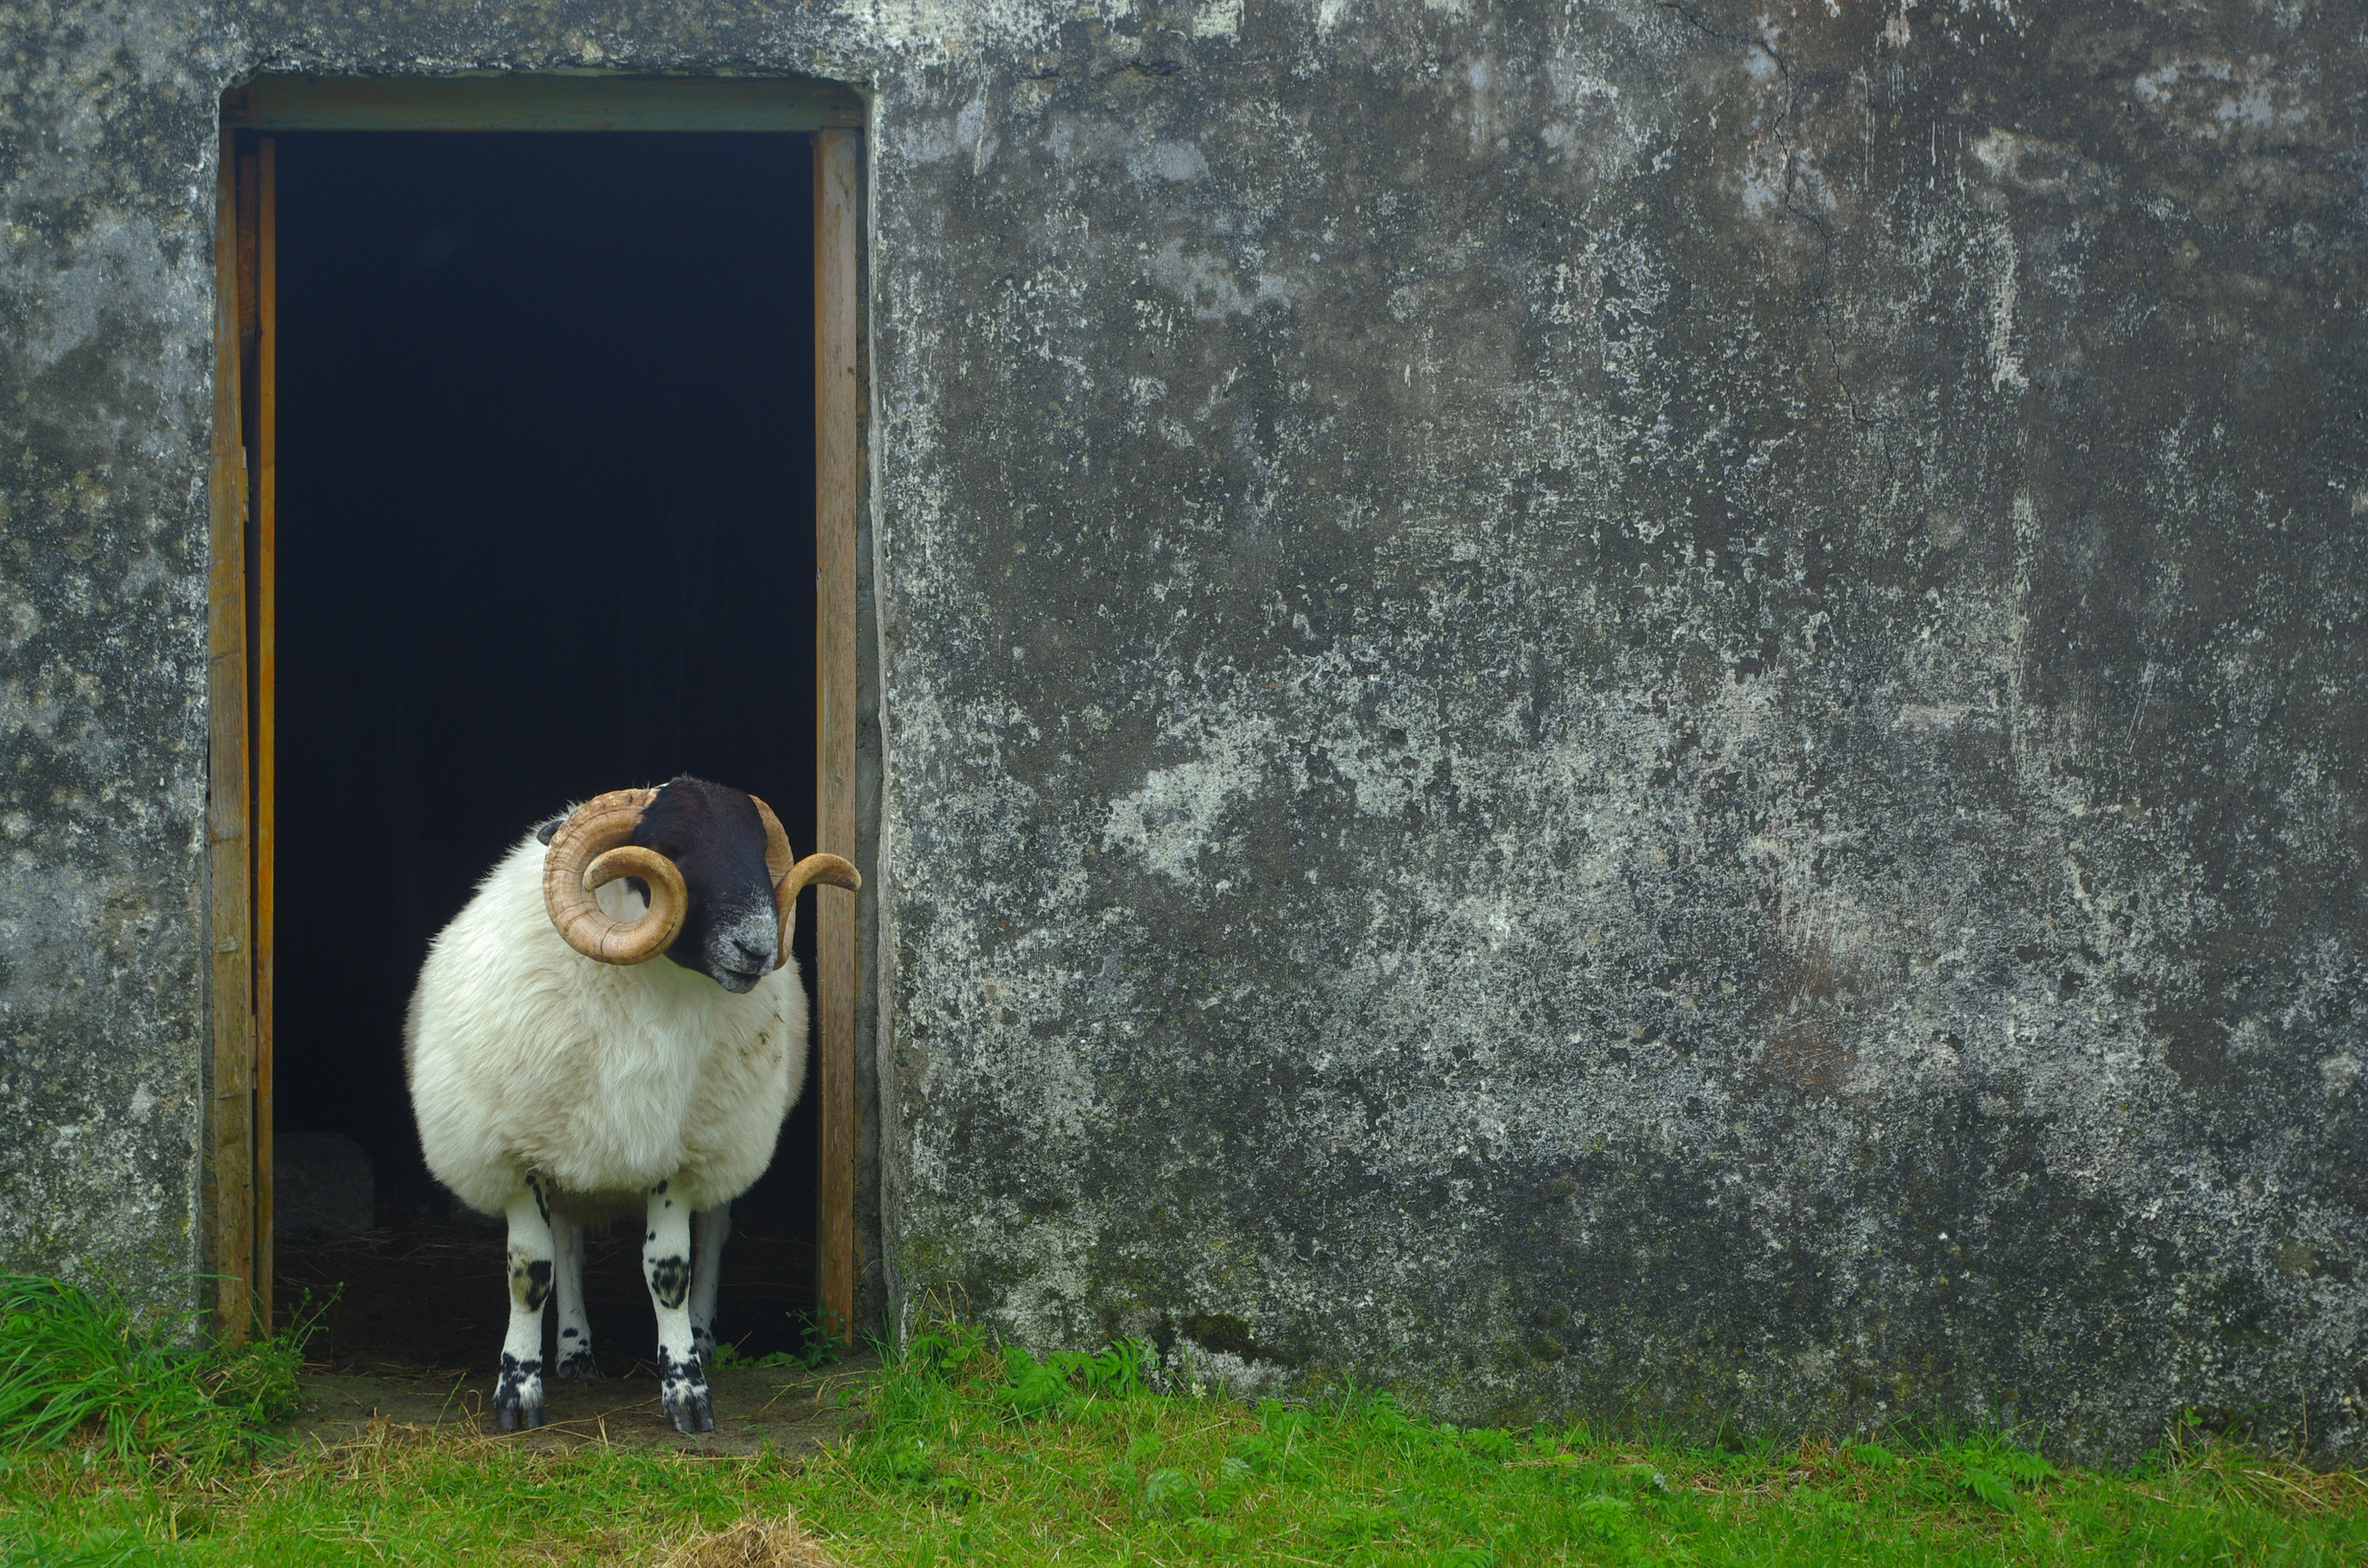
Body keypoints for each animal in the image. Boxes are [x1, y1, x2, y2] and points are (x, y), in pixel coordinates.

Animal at [407, 776, 861, 1439]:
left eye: (759, 848)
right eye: (669, 849)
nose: (756, 948)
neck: (648, 995)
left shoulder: (680, 1155)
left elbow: (669, 1270)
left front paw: (686, 1389)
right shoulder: (518, 1155)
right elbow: (531, 1271)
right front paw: (517, 1390)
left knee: (714, 1234)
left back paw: (700, 1335)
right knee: (567, 1246)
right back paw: (575, 1352)